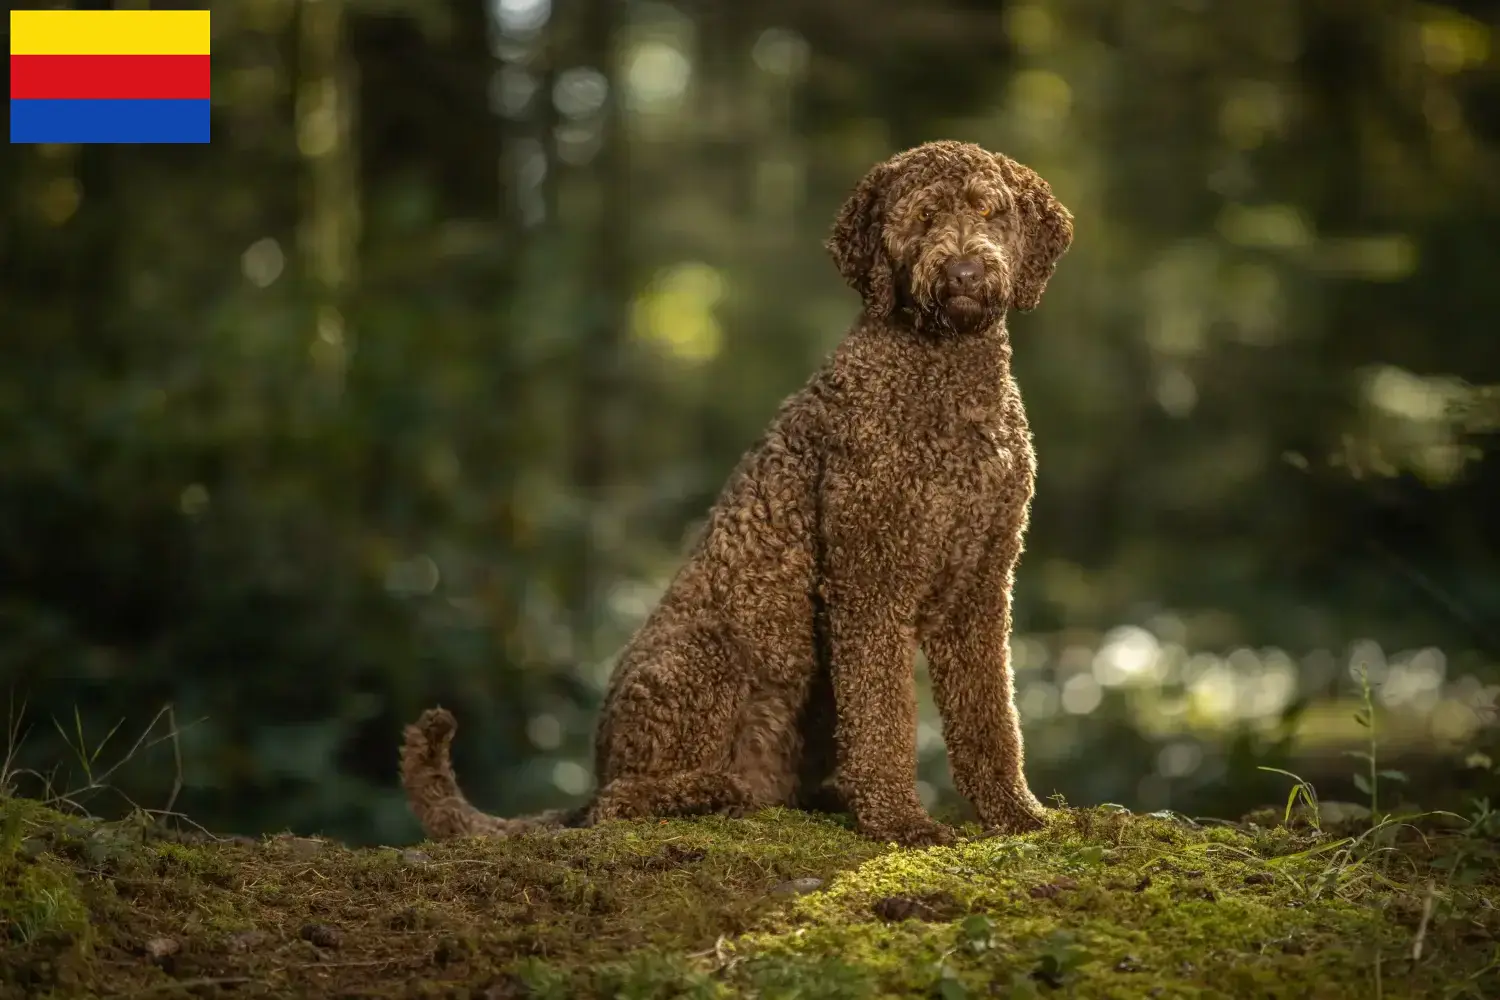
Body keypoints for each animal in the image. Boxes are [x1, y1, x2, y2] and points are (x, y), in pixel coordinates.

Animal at [405, 138, 1074, 845]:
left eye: (989, 210)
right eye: (923, 216)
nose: (967, 271)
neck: (946, 375)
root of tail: (589, 780)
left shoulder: (981, 584)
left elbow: (991, 716)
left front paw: (1016, 813)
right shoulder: (869, 582)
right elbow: (884, 719)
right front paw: (900, 820)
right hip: (705, 664)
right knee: (621, 801)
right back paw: (716, 791)